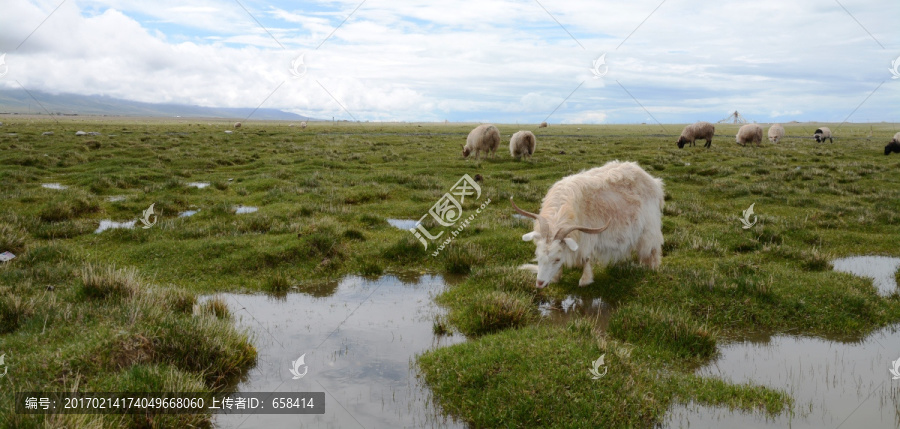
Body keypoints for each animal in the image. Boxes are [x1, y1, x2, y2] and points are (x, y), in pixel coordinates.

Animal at [510, 160, 664, 288]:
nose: (540, 283)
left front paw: (585, 280)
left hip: (650, 227)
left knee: (653, 249)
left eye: (557, 259)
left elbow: (586, 258)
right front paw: (556, 277)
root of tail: (654, 182)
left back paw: (653, 268)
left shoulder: (587, 237)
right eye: (538, 255)